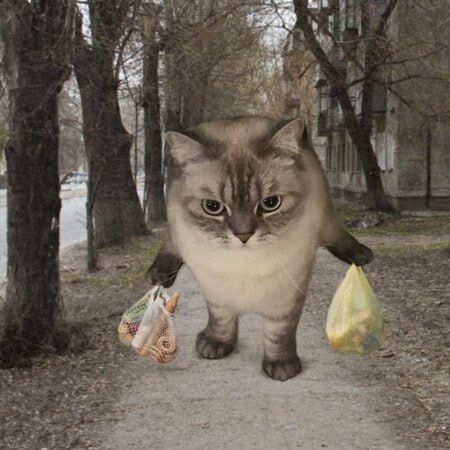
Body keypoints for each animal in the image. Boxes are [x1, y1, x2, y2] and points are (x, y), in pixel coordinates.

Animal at [148, 116, 373, 381]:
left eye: (270, 203)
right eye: (213, 207)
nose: (243, 235)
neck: (245, 266)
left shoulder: (287, 294)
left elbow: (278, 333)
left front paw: (281, 365)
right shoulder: (215, 290)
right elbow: (221, 320)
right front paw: (216, 344)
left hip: (326, 221)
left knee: (338, 235)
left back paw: (361, 255)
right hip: (175, 230)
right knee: (169, 247)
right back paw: (158, 275)